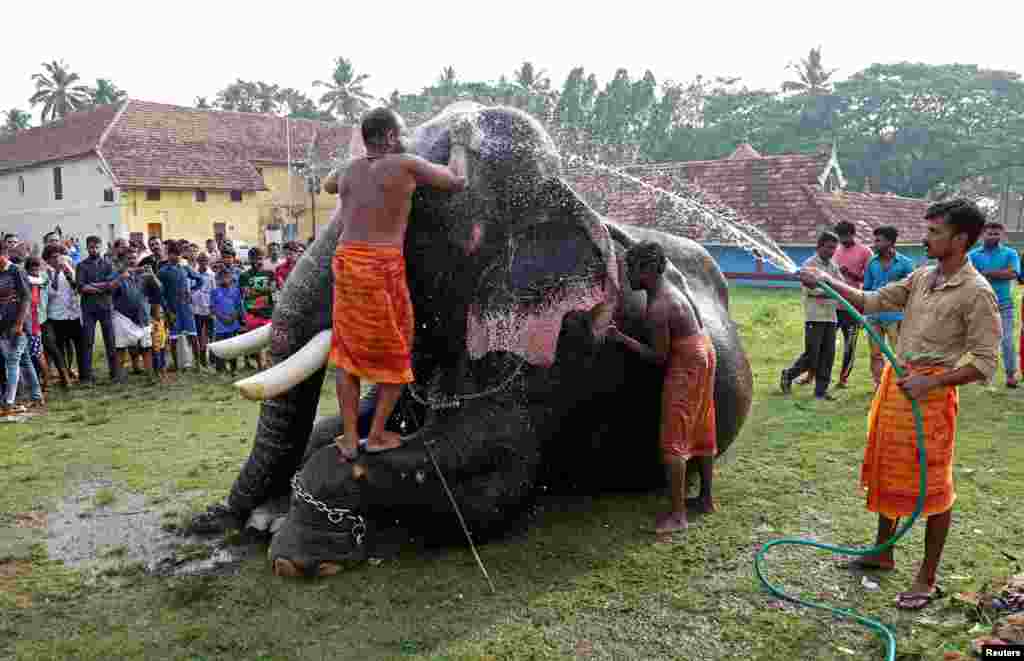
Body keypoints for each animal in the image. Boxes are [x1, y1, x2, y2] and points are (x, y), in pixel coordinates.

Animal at [190, 100, 753, 577]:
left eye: (411, 220)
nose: (210, 520)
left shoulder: (556, 346)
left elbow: (492, 479)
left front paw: (296, 550)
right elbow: (355, 424)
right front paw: (270, 515)